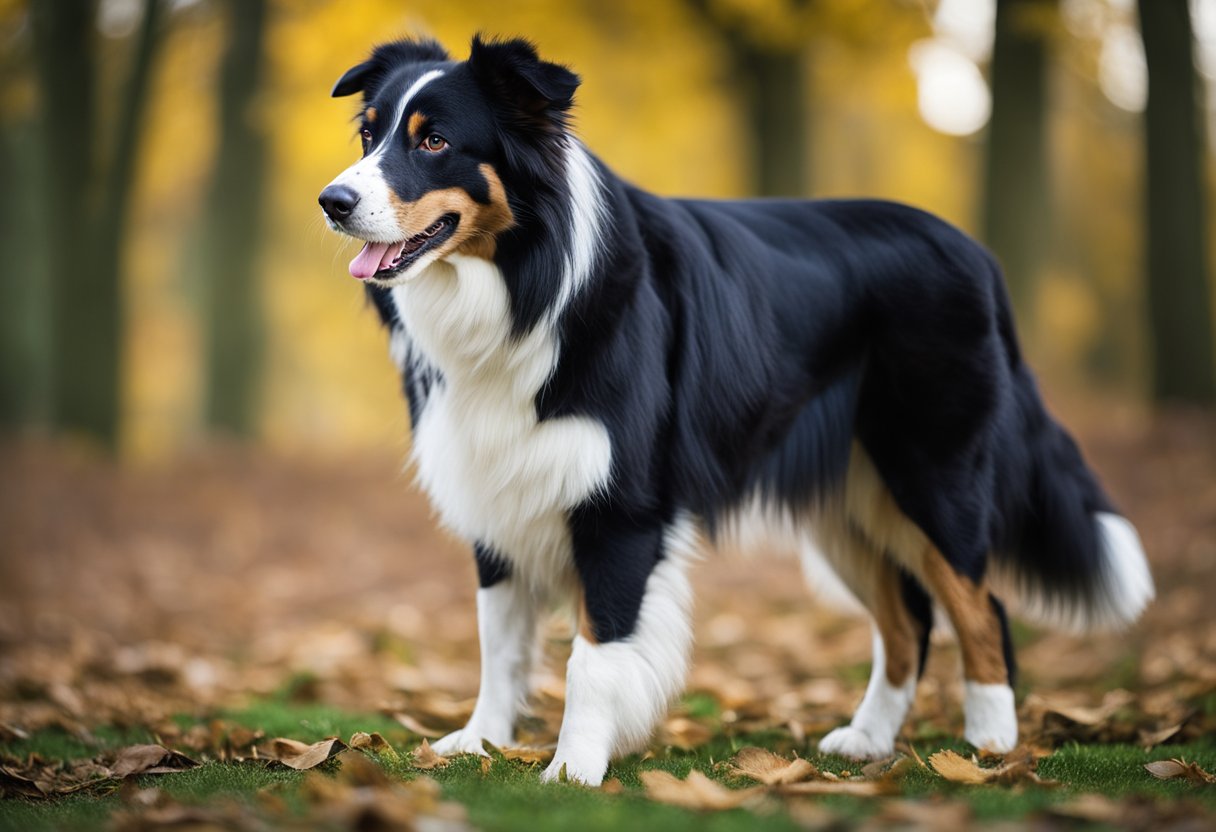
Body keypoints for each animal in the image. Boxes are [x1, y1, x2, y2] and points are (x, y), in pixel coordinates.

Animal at [318, 34, 1152, 788]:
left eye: (434, 141)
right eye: (368, 134)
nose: (333, 202)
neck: (526, 284)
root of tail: (978, 255)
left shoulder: (622, 509)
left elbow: (594, 655)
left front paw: (574, 769)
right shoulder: (496, 487)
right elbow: (499, 638)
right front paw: (482, 741)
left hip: (934, 473)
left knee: (981, 607)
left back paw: (989, 745)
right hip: (850, 502)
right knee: (908, 619)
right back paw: (867, 740)